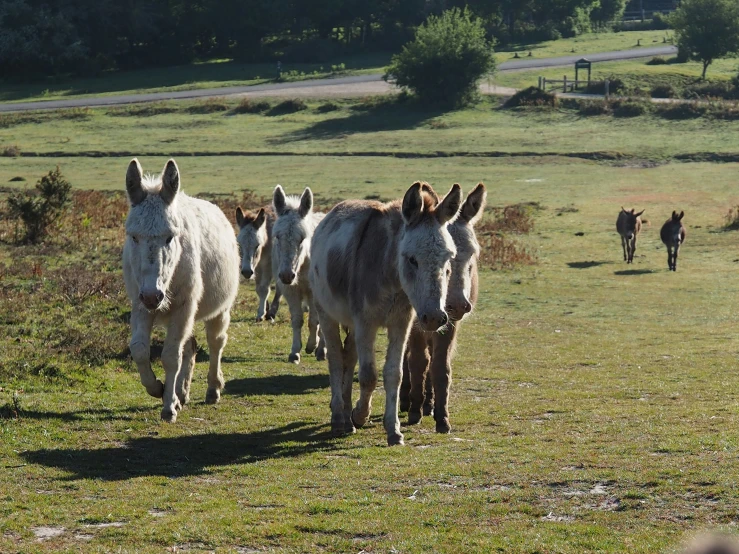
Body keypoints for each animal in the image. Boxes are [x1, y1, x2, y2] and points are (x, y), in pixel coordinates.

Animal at [121, 157, 237, 420]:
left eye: (169, 237)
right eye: (134, 237)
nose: (153, 296)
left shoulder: (182, 308)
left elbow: (171, 356)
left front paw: (168, 407)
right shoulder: (140, 306)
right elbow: (139, 349)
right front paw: (158, 389)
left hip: (218, 310)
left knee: (215, 342)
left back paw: (213, 389)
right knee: (190, 347)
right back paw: (181, 393)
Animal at [310, 181, 462, 444]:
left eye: (449, 258)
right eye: (411, 259)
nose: (435, 318)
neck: (391, 277)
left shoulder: (401, 323)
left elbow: (394, 374)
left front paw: (393, 430)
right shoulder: (365, 323)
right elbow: (368, 375)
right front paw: (360, 415)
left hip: (352, 323)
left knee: (349, 357)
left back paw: (347, 416)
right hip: (326, 313)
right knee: (336, 360)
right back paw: (339, 418)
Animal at [402, 182, 488, 432]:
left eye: (473, 253)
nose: (457, 305)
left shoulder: (449, 325)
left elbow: (440, 367)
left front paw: (441, 416)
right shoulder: (417, 325)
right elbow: (418, 362)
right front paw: (414, 410)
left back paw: (428, 403)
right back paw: (407, 398)